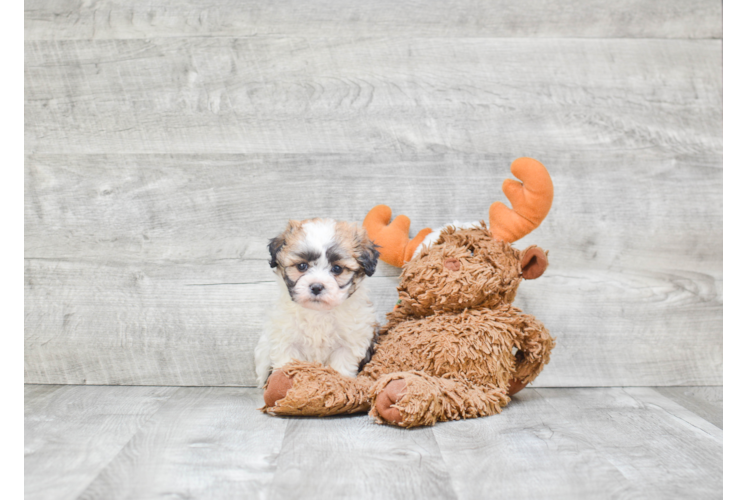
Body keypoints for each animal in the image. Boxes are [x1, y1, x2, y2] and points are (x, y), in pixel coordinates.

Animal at [254, 217, 380, 384]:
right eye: (302, 266)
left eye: (337, 269)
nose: (316, 287)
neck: (318, 313)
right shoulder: (286, 341)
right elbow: (288, 363)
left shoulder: (349, 343)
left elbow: (341, 367)